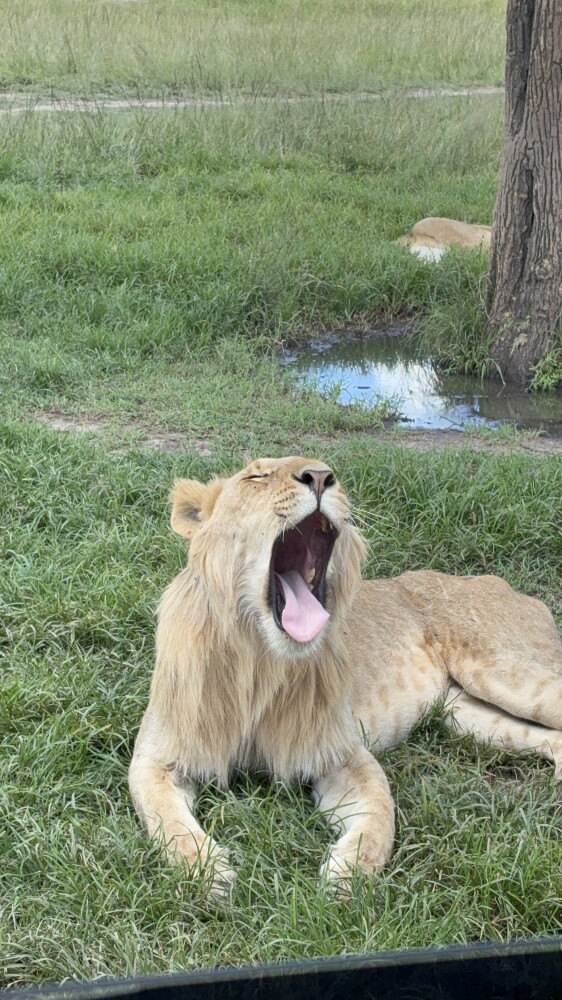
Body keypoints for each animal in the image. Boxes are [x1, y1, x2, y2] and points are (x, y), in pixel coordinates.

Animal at [129, 456, 562, 896]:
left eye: (325, 472)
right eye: (257, 476)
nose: (320, 476)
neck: (261, 664)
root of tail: (501, 583)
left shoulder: (342, 750)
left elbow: (380, 814)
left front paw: (347, 875)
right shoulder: (156, 754)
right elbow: (166, 818)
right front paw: (205, 870)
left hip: (508, 674)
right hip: (467, 715)